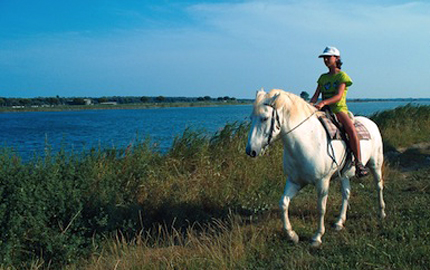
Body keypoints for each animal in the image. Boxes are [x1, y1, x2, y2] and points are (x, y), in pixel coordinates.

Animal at [245, 88, 386, 247]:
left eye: (264, 118)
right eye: (251, 118)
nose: (250, 151)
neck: (307, 141)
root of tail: (371, 123)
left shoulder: (322, 182)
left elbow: (321, 208)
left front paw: (317, 237)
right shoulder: (294, 182)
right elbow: (283, 204)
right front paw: (291, 235)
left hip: (375, 165)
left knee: (379, 186)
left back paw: (381, 213)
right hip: (344, 175)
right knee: (346, 193)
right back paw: (339, 222)